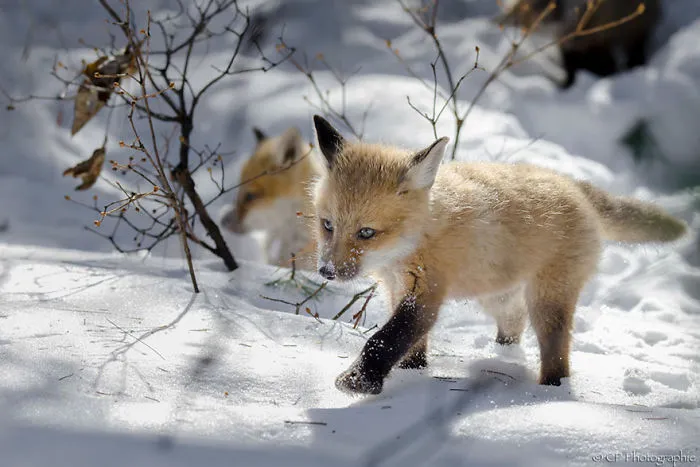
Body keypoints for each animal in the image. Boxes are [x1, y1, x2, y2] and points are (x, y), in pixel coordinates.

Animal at [309, 115, 687, 395]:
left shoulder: (427, 293)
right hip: (499, 297)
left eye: (366, 232)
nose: (326, 271)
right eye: (328, 225)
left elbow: (386, 338)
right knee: (514, 324)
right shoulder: (397, 289)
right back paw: (504, 356)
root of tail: (572, 184)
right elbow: (410, 345)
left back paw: (551, 392)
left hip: (547, 302)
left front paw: (359, 381)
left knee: (558, 357)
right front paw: (412, 374)